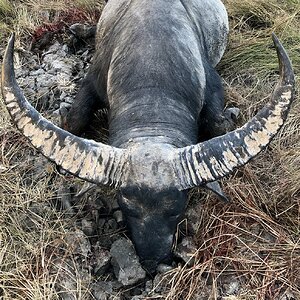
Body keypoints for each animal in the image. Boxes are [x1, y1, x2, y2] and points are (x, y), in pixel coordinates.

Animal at [0, 0, 296, 272]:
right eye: (126, 206)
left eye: (176, 209)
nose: (153, 261)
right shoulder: (92, 82)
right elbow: (76, 118)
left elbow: (216, 122)